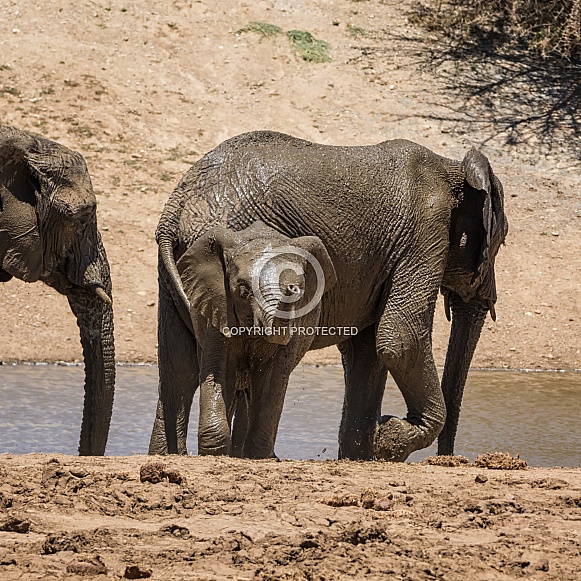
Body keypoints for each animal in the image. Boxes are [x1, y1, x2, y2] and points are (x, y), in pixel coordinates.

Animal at [148, 220, 336, 456]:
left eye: (300, 292)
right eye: (244, 291)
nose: (291, 287)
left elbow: (272, 380)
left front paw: (255, 455)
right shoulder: (218, 305)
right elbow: (217, 371)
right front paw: (215, 452)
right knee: (183, 373)